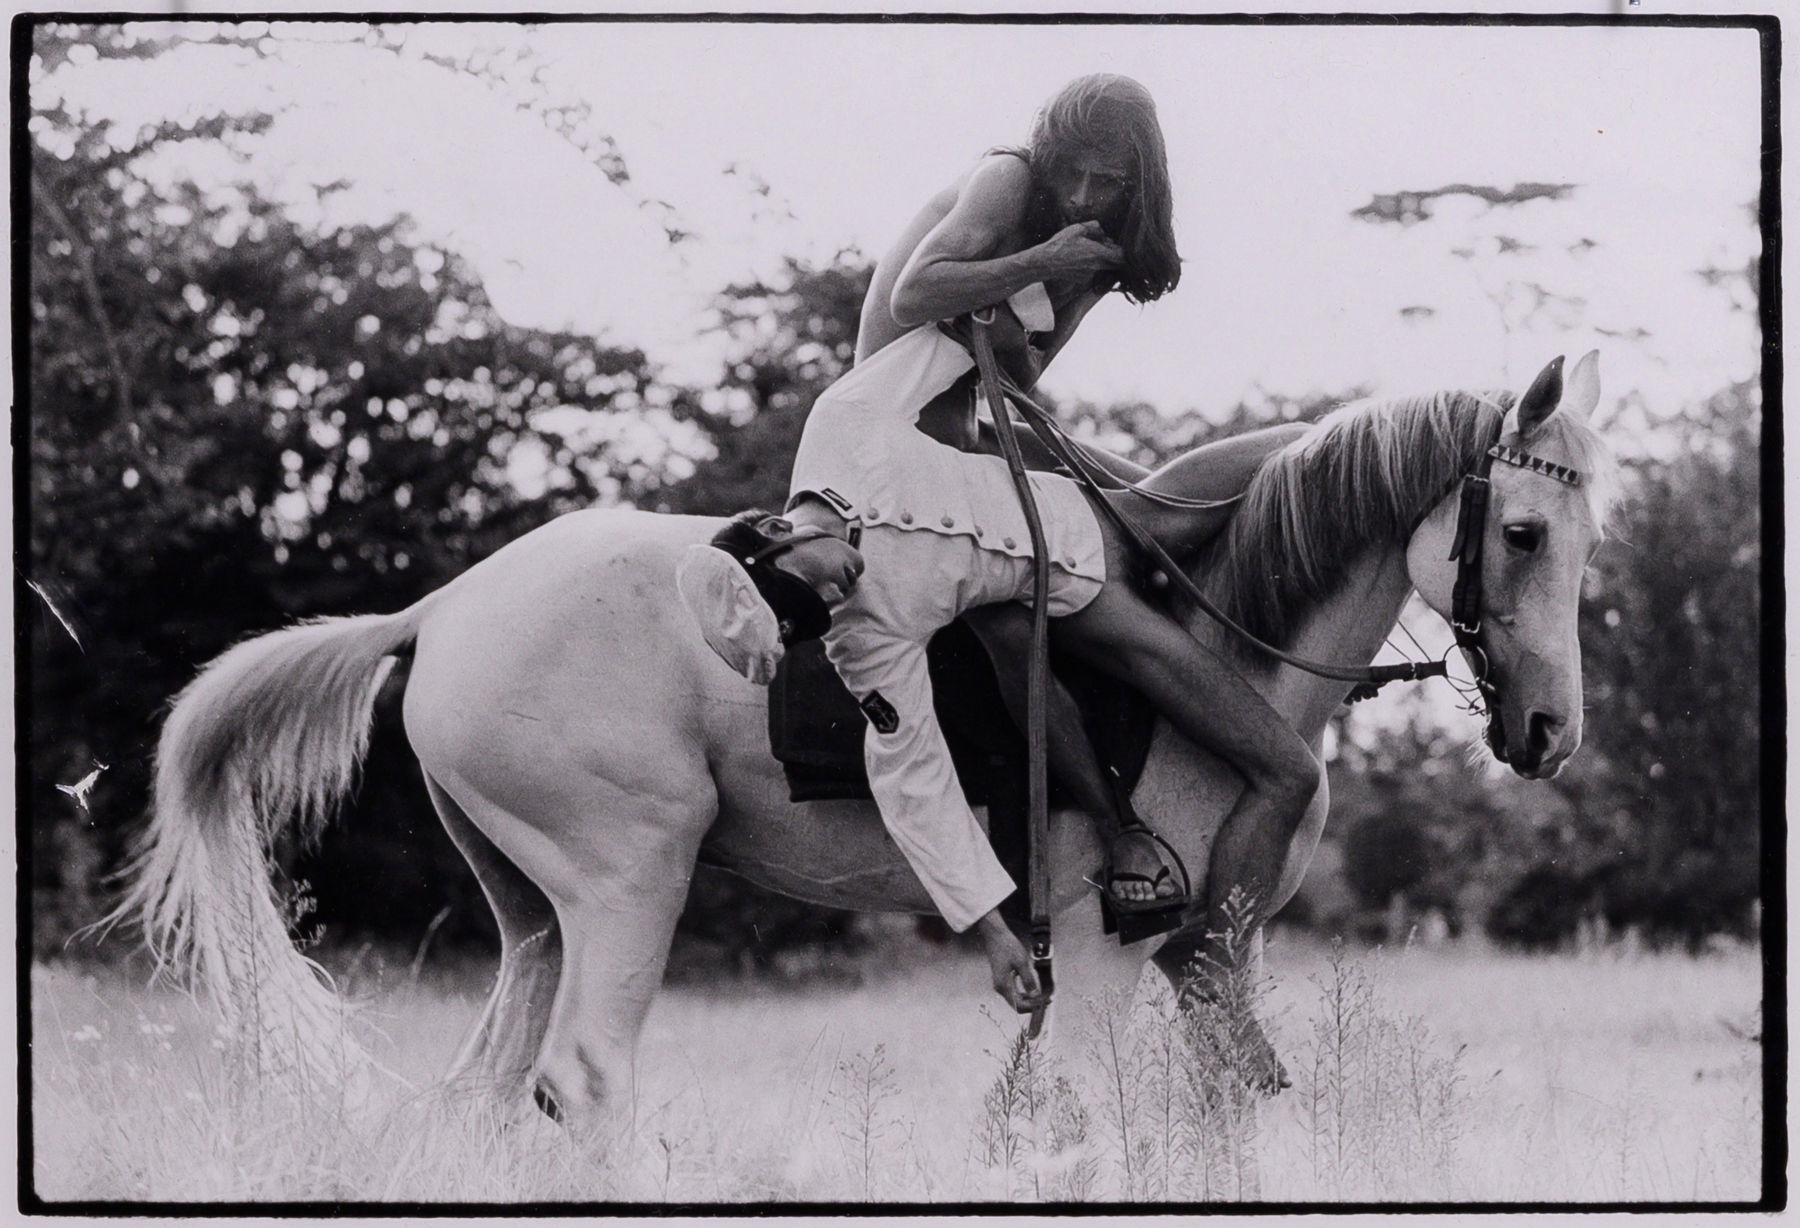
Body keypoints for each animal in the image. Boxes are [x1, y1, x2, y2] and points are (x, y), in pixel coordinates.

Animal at [116, 351, 1614, 1124]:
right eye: (1524, 533)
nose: (1549, 730)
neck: (1225, 621)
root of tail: (441, 609)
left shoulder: (1206, 960)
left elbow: (1220, 1112)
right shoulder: (1120, 961)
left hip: (533, 914)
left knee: (484, 1093)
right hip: (628, 885)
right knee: (583, 1085)